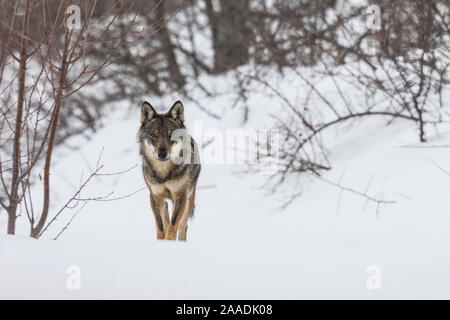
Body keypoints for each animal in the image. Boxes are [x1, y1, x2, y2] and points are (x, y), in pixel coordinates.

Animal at [137, 100, 200, 240]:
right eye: (153, 135)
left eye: (171, 134)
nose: (162, 154)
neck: (164, 173)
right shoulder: (154, 196)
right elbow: (161, 227)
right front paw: (161, 242)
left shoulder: (180, 196)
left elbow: (173, 225)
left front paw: (168, 242)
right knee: (166, 212)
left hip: (189, 197)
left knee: (183, 226)